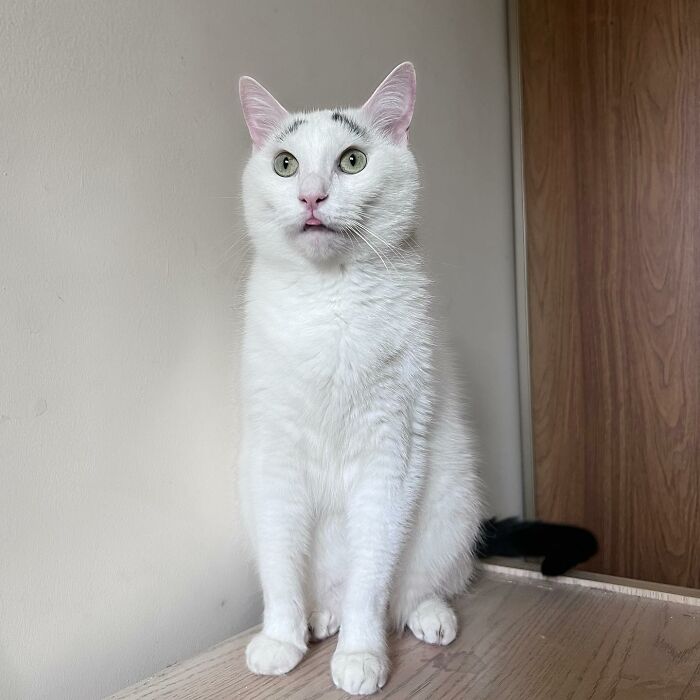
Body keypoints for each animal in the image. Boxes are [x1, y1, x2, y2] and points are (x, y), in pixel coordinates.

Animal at [238, 64, 484, 696]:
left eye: (352, 161)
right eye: (285, 164)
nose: (312, 195)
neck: (329, 301)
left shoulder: (390, 451)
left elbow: (370, 577)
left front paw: (361, 656)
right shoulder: (274, 454)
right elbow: (281, 565)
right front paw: (281, 641)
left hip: (450, 510)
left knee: (411, 591)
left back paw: (429, 617)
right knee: (321, 587)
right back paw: (318, 618)